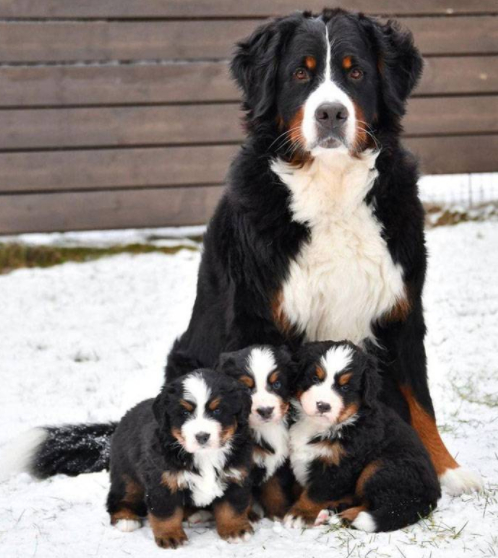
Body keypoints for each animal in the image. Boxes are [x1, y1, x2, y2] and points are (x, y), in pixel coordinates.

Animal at [9, 8, 480, 498]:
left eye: (356, 73)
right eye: (300, 74)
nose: (331, 112)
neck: (331, 190)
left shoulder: (400, 311)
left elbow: (420, 402)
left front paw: (448, 469)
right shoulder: (260, 318)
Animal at [218, 346, 296, 520]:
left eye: (277, 384)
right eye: (246, 388)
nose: (265, 411)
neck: (265, 429)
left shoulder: (279, 461)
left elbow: (276, 490)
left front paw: (279, 514)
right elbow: (243, 498)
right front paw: (249, 516)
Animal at [284, 342, 440, 532]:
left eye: (345, 388)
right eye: (315, 378)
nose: (323, 405)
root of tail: (431, 498)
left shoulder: (340, 466)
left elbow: (316, 493)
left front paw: (299, 514)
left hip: (381, 467)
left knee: (383, 505)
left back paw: (344, 517)